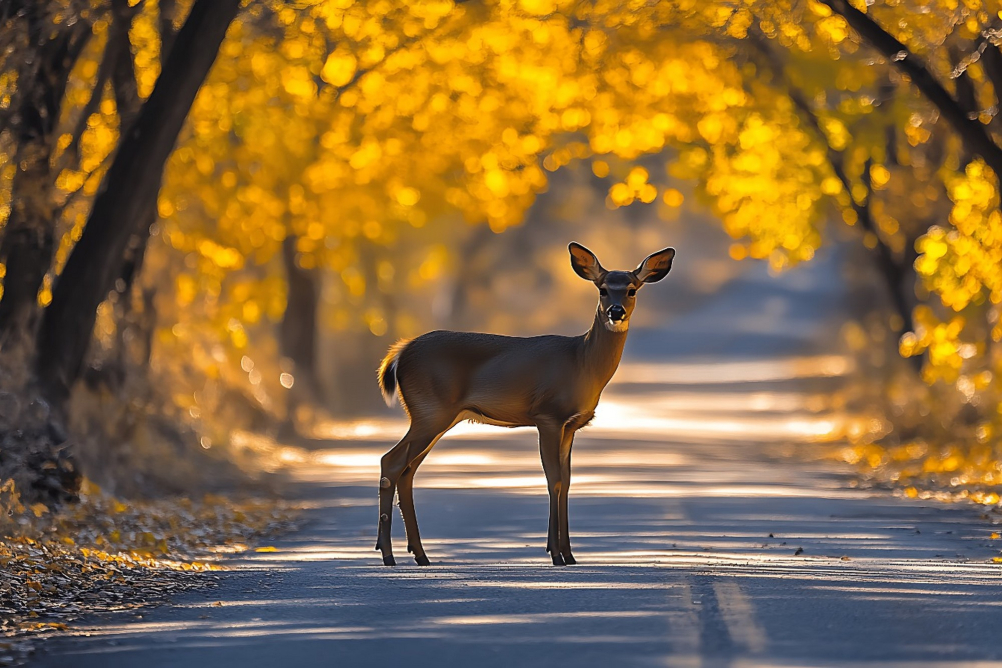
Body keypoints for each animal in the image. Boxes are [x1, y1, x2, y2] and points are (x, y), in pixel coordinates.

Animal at [374, 243, 673, 568]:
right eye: (603, 289)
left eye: (631, 289)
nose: (615, 312)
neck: (582, 361)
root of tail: (400, 353)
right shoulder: (548, 415)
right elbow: (554, 479)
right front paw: (556, 554)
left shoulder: (571, 425)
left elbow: (568, 481)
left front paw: (569, 554)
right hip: (430, 411)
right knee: (391, 462)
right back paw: (387, 554)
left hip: (436, 417)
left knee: (407, 471)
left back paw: (419, 554)